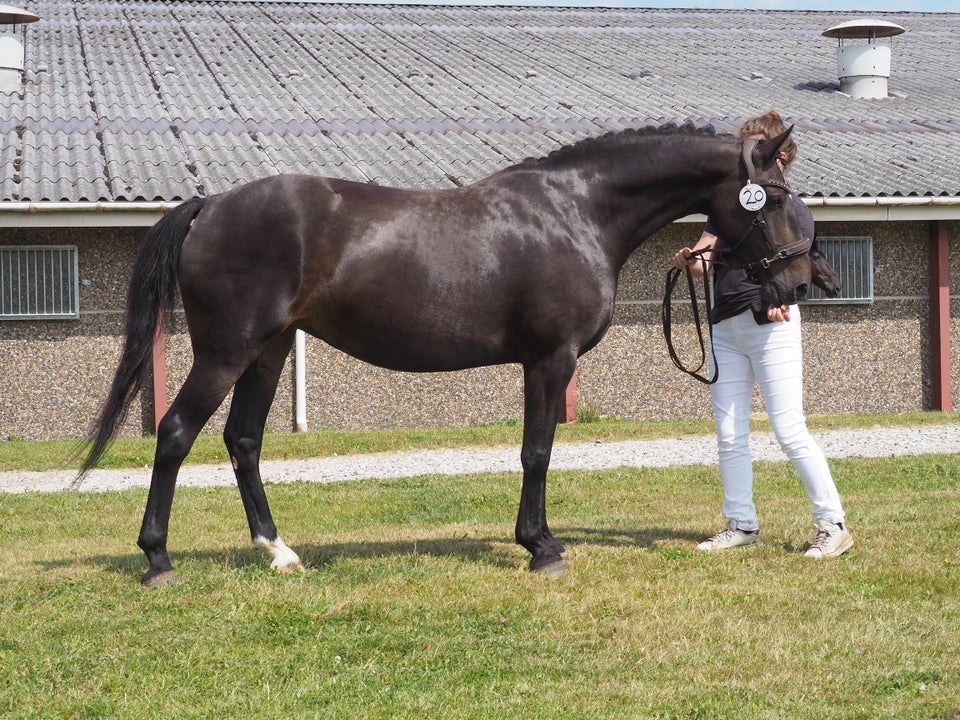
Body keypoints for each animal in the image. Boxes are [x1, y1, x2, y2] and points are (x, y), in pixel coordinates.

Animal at [79, 124, 808, 584]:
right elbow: (537, 450)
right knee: (176, 433)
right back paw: (157, 561)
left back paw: (279, 552)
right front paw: (541, 547)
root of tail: (210, 205)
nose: (798, 284)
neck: (577, 210)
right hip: (226, 351)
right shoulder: (549, 359)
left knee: (244, 440)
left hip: (268, 349)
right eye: (771, 195)